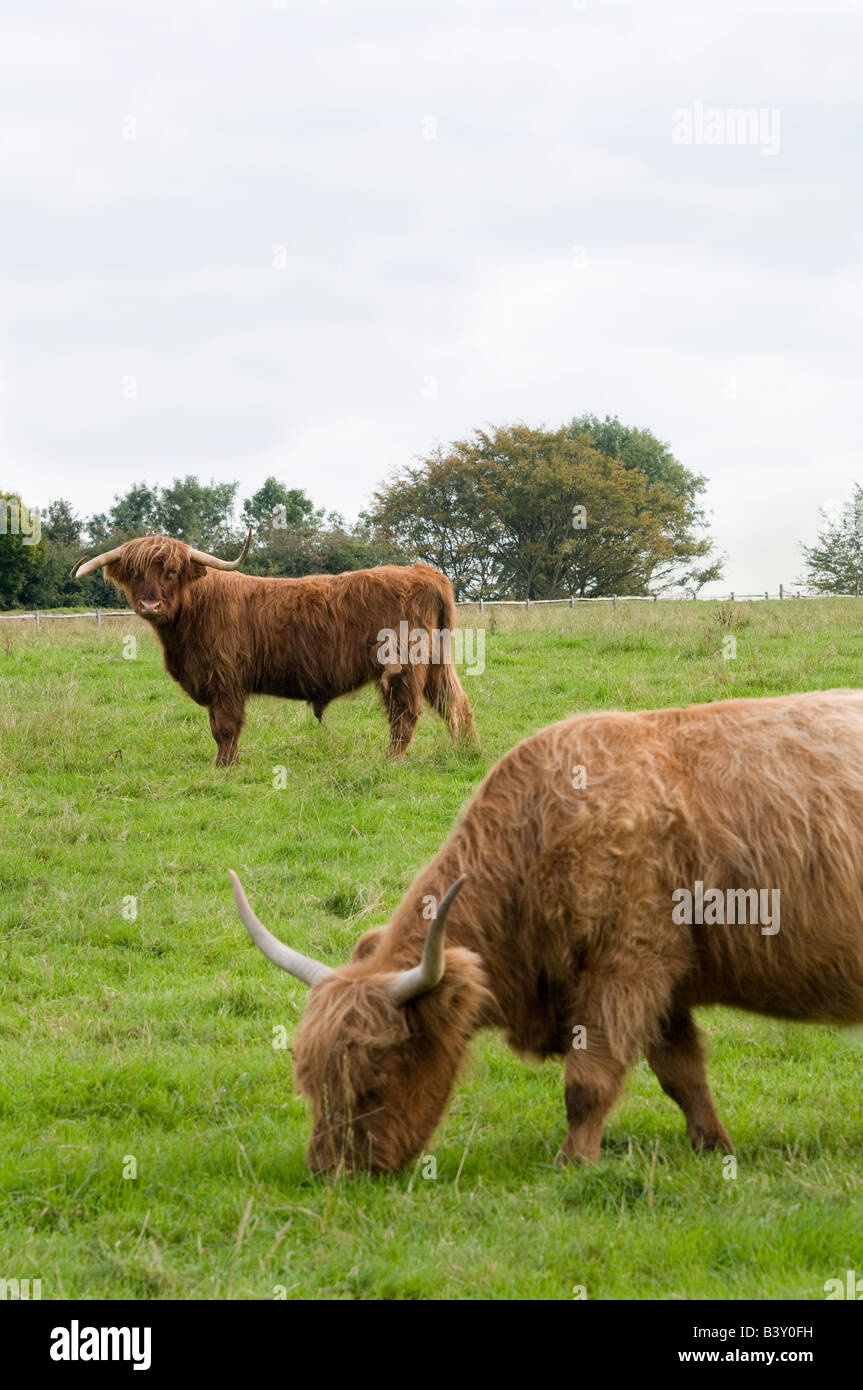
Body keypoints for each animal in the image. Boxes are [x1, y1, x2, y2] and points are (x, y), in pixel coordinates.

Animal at [72, 533, 478, 772]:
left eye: (172, 571)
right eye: (136, 573)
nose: (150, 605)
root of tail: (424, 572)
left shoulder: (225, 678)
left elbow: (225, 727)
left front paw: (225, 767)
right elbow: (218, 727)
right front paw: (226, 764)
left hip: (403, 666)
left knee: (405, 713)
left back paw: (391, 761)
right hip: (436, 661)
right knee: (455, 702)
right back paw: (467, 751)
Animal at [230, 689, 863, 1167]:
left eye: (377, 1070)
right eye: (308, 1077)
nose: (331, 1170)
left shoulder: (625, 970)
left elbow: (589, 1082)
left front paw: (574, 1162)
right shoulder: (664, 980)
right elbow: (683, 1074)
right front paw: (714, 1148)